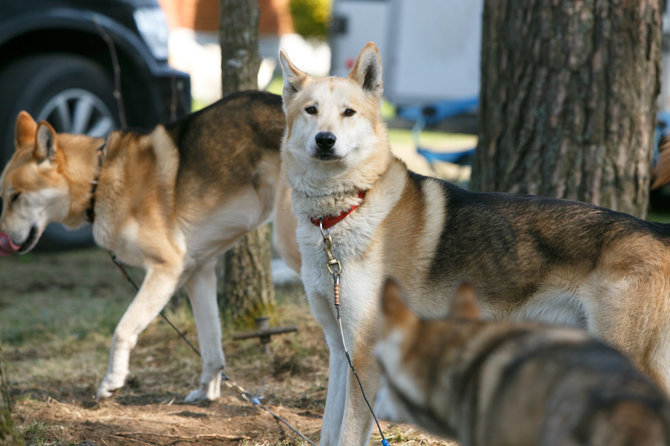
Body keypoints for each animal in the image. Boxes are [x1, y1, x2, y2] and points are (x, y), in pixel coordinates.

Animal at [0, 90, 300, 400]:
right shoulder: (198, 273)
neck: (99, 178)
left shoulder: (165, 268)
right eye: (4, 196)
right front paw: (206, 393)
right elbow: (211, 346)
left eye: (16, 197)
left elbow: (123, 330)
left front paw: (112, 380)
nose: (2, 240)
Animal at [280, 42, 670, 446]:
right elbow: (329, 429)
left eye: (349, 112)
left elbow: (346, 433)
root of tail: (656, 229)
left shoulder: (366, 355)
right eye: (311, 110)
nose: (325, 140)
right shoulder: (340, 349)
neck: (345, 210)